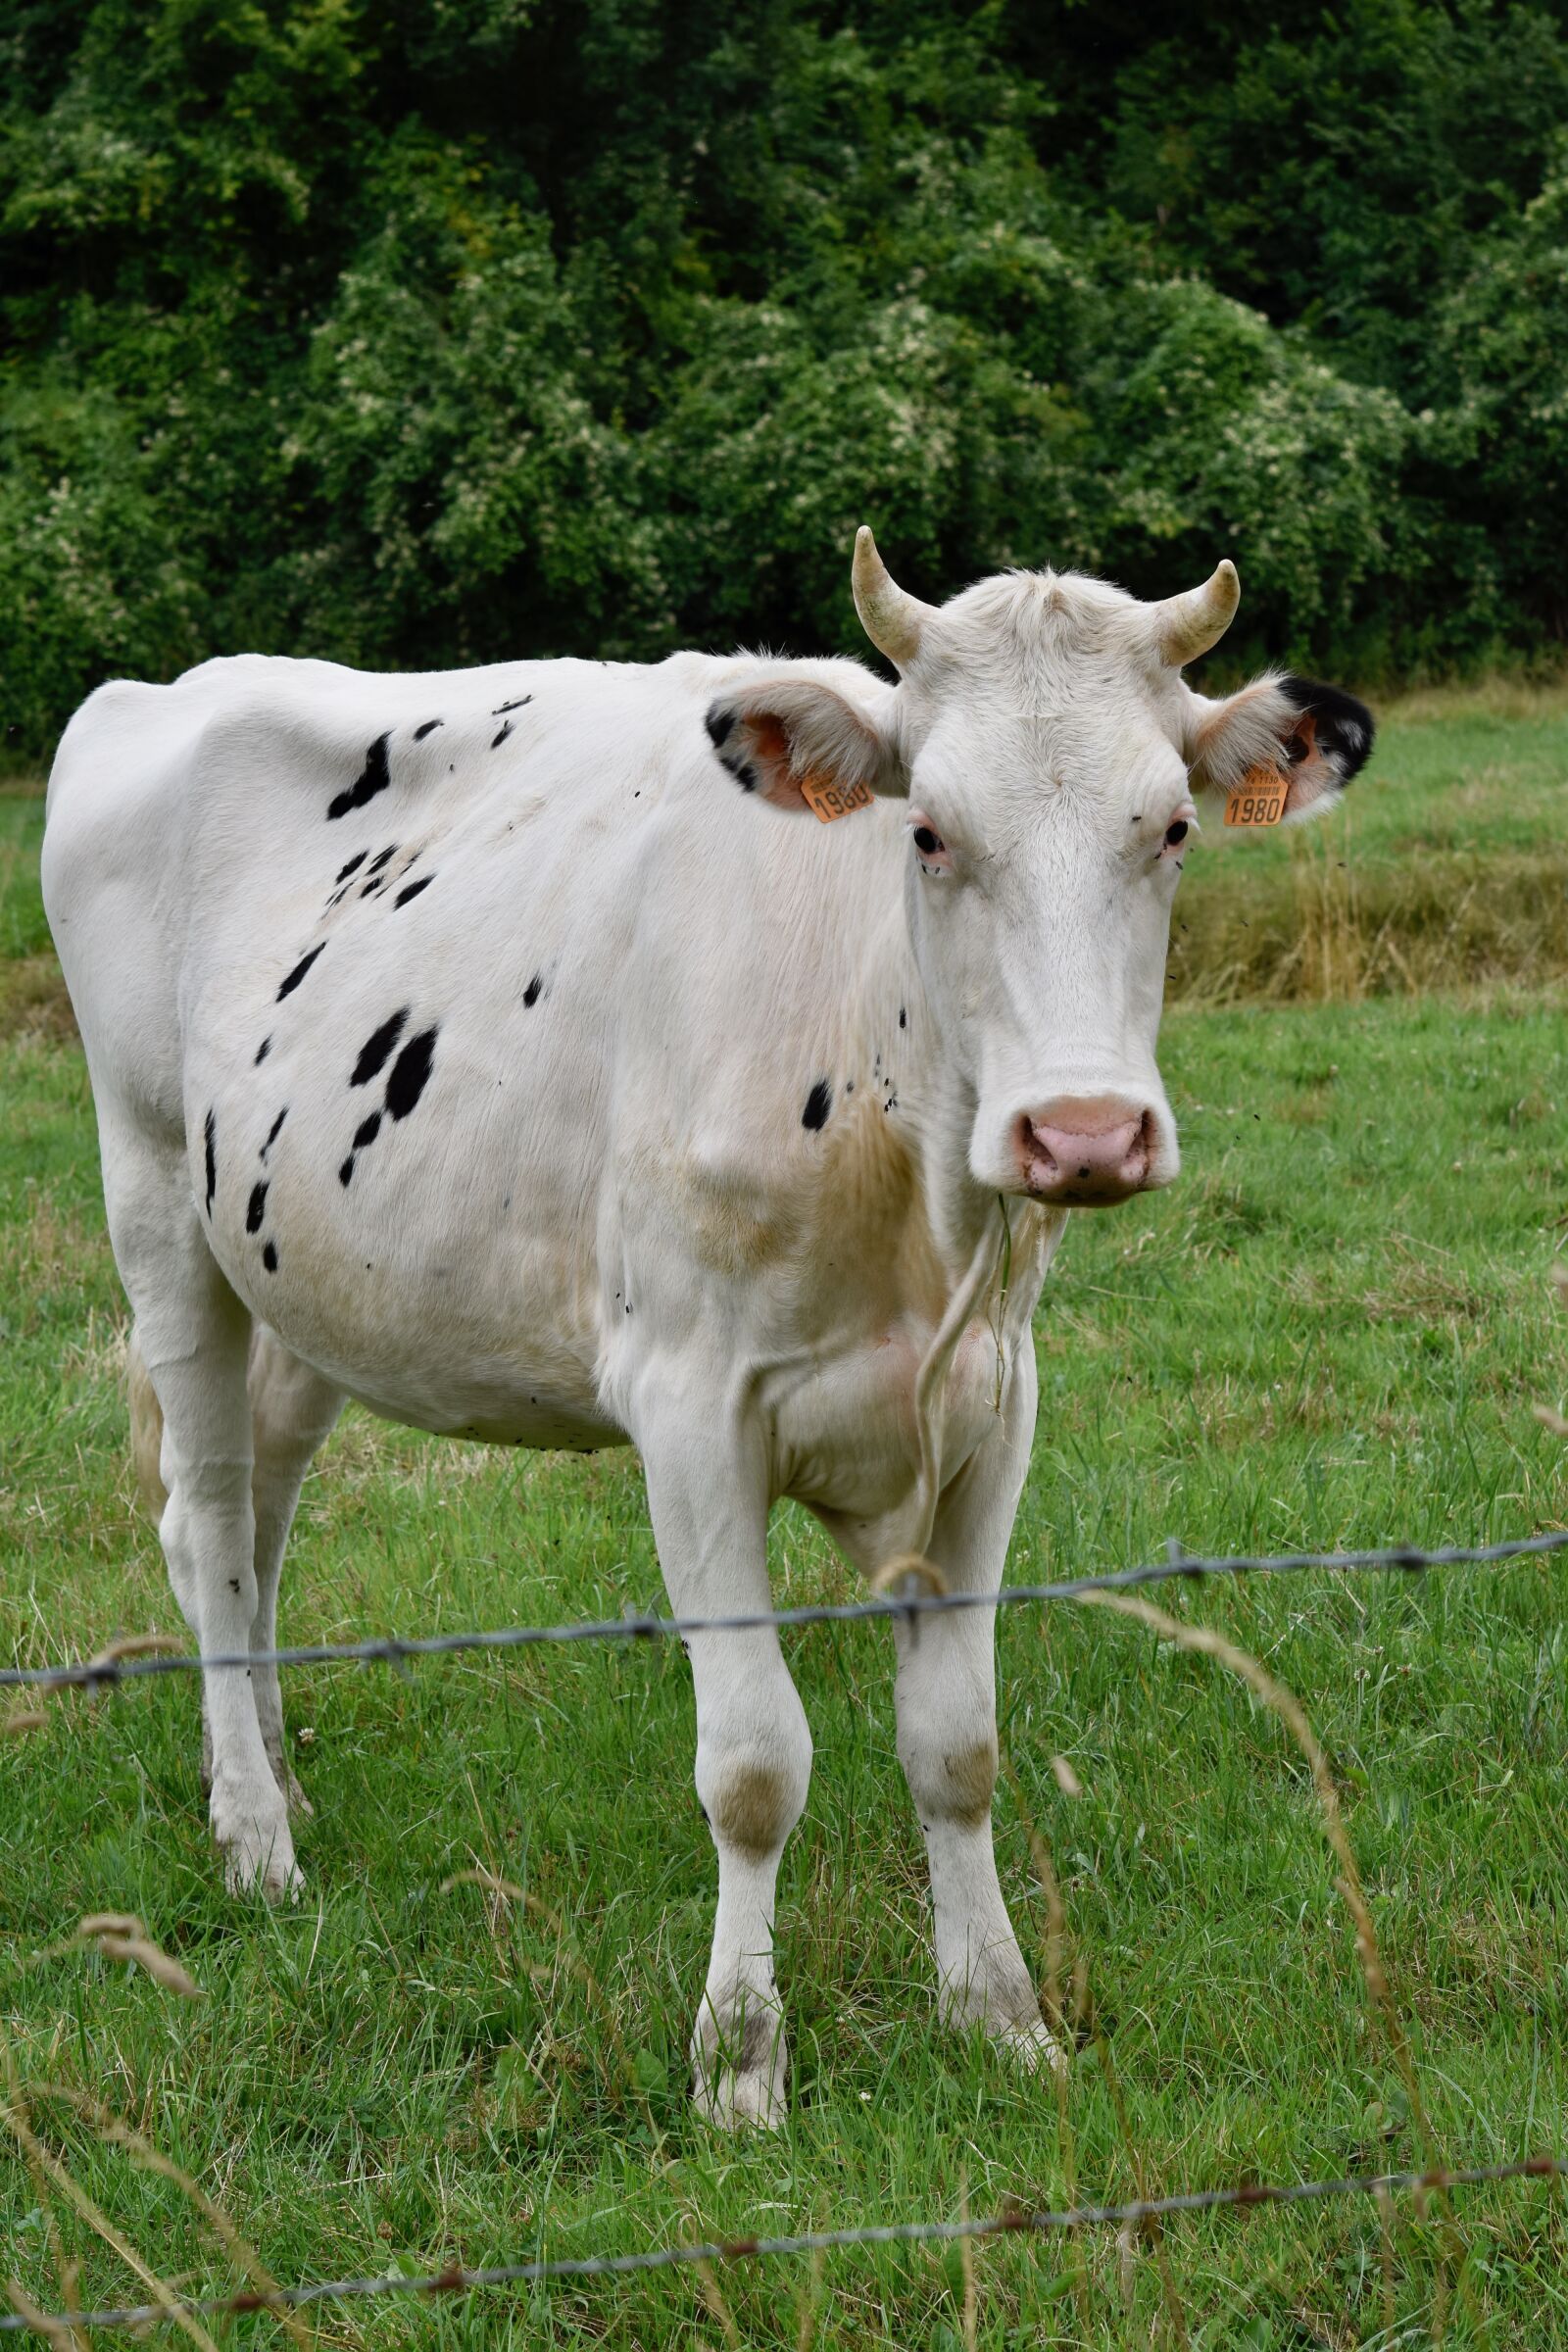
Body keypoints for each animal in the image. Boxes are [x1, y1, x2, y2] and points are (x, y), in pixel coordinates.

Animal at [41, 531, 1373, 2126]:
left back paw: (281, 1779)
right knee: (202, 1514)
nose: (1082, 1133)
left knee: (257, 1523)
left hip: (301, 1270)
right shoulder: (690, 1411)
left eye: (1171, 828)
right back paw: (254, 1837)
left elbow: (959, 1746)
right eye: (929, 833)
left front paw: (998, 2016)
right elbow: (752, 1766)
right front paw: (740, 2062)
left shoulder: (993, 1404)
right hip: (156, 1205)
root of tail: (159, 688)